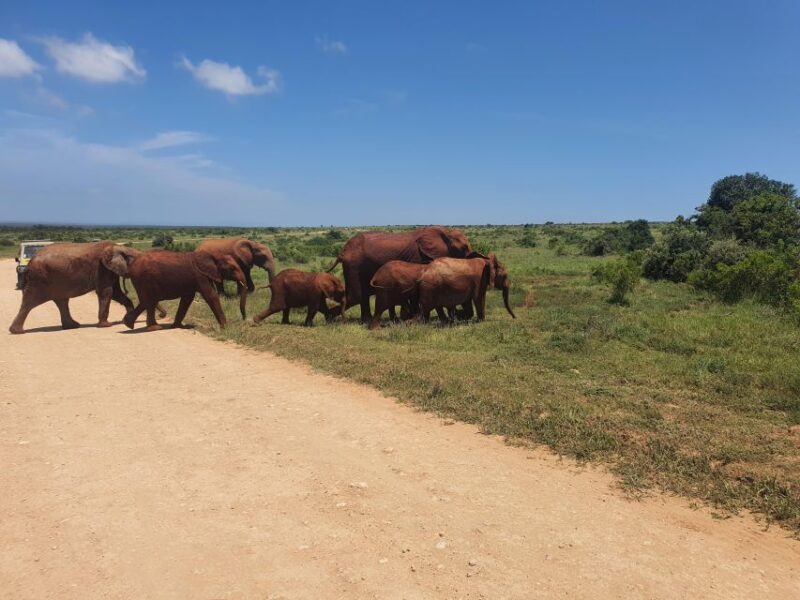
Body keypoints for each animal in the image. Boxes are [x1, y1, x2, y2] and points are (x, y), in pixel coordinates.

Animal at [103, 247, 246, 332]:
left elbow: (187, 299)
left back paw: (129, 324)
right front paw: (226, 328)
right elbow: (210, 295)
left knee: (147, 301)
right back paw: (153, 327)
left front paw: (178, 326)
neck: (212, 255)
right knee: (149, 301)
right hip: (144, 280)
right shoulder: (199, 275)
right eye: (232, 269)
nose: (244, 319)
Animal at [327, 226, 473, 322]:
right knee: (356, 296)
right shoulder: (418, 256)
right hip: (354, 265)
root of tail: (343, 251)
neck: (446, 231)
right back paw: (330, 317)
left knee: (362, 296)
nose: (464, 316)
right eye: (464, 248)